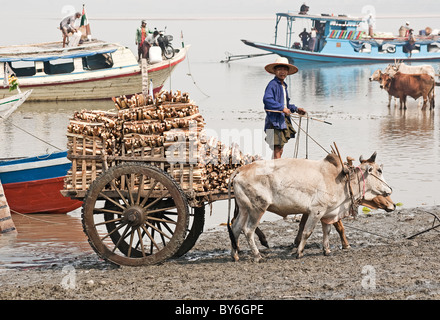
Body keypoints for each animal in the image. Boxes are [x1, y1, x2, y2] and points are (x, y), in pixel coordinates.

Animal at [227, 151, 392, 262]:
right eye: (379, 170)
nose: (390, 189)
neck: (342, 180)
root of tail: (240, 170)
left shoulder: (327, 213)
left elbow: (327, 231)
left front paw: (327, 250)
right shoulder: (316, 211)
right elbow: (307, 232)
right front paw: (299, 252)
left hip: (244, 209)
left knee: (235, 228)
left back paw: (235, 255)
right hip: (257, 208)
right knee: (248, 230)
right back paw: (257, 256)